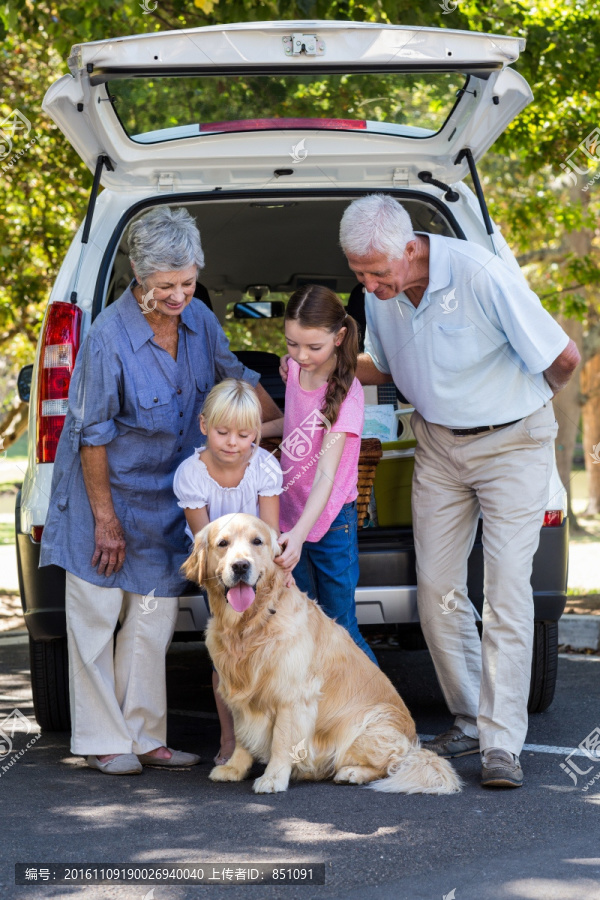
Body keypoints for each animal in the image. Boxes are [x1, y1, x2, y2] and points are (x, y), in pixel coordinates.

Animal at [183, 512, 460, 796]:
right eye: (223, 543)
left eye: (257, 541)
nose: (240, 566)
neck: (251, 624)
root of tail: (415, 743)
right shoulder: (241, 693)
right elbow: (242, 735)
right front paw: (234, 767)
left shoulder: (292, 696)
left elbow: (281, 742)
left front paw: (273, 778)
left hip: (365, 724)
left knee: (393, 763)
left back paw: (353, 773)